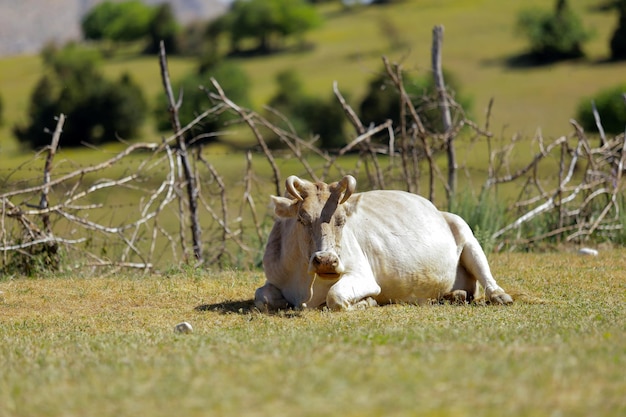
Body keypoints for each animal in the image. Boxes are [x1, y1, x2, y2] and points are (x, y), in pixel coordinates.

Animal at [254, 174, 512, 310]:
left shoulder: (363, 276)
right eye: (301, 218)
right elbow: (261, 297)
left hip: (467, 235)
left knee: (487, 279)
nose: (326, 260)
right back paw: (453, 295)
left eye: (342, 220)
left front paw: (366, 302)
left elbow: (335, 297)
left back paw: (499, 295)